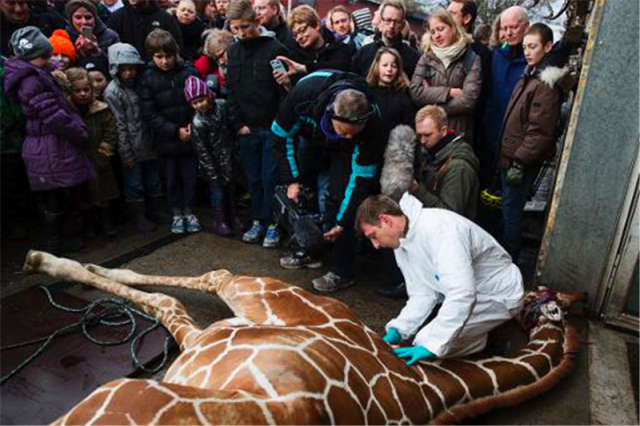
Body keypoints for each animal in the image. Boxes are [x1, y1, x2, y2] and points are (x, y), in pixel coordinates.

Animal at [22, 251, 584, 424]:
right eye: (545, 299)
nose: (520, 315)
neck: (427, 392)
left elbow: (169, 302)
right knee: (213, 277)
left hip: (126, 386)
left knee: (193, 289)